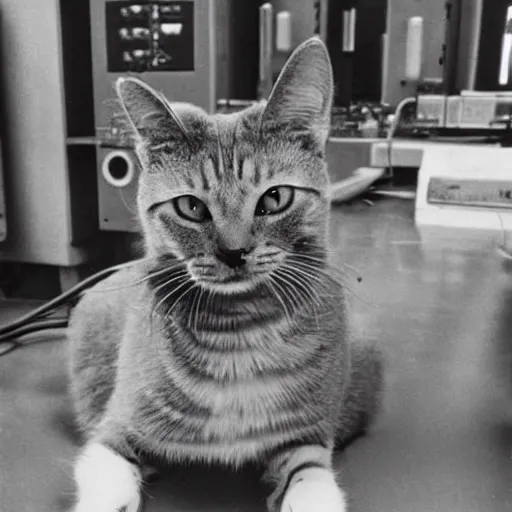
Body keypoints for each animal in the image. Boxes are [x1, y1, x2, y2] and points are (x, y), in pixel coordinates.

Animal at [66, 37, 382, 512]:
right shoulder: (113, 431)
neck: (239, 327)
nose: (234, 253)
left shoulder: (305, 437)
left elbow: (309, 477)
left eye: (275, 198)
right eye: (190, 206)